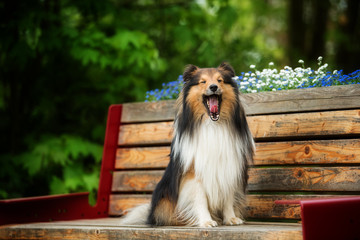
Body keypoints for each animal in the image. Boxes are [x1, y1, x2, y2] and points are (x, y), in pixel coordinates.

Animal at [121, 62, 256, 227]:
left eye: (220, 80)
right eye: (203, 82)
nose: (213, 87)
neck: (212, 124)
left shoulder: (230, 166)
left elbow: (228, 196)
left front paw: (231, 218)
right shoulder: (193, 171)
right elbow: (200, 198)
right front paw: (206, 221)